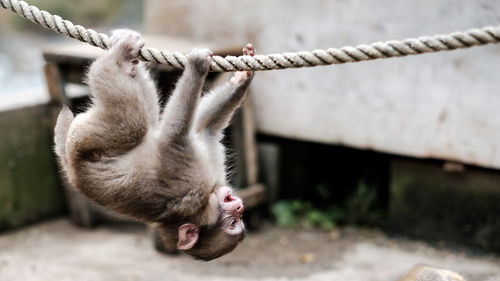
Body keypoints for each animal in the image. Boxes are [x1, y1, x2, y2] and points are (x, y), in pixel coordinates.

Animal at [54, 29, 256, 260]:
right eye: (232, 223)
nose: (240, 207)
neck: (207, 200)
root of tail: (71, 170)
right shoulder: (194, 190)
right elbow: (176, 136)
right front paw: (205, 70)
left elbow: (203, 128)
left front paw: (239, 78)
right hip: (83, 144)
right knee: (134, 124)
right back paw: (120, 54)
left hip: (81, 140)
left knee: (137, 121)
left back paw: (122, 57)